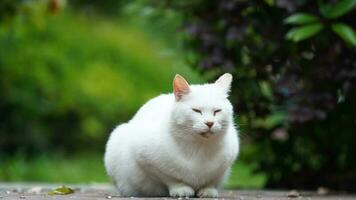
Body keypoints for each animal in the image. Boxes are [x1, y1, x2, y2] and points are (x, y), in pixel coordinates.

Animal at [104, 73, 241, 197]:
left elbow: (212, 180)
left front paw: (208, 190)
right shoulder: (147, 161)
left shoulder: (223, 166)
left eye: (217, 111)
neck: (199, 148)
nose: (209, 123)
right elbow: (170, 178)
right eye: (196, 110)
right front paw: (181, 189)